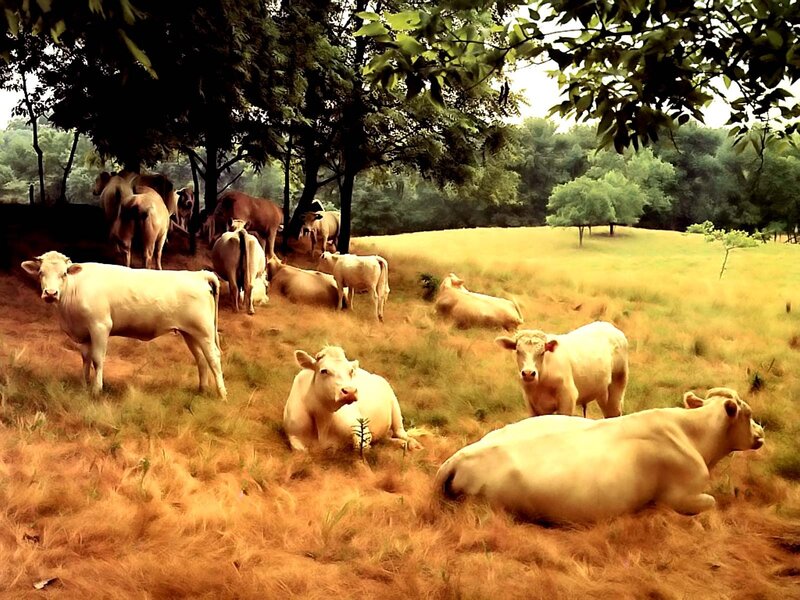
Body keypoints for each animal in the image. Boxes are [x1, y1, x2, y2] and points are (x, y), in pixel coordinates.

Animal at [20, 251, 227, 399]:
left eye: (63, 274)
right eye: (40, 272)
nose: (50, 293)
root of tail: (199, 274)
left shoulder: (100, 326)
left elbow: (97, 359)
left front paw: (96, 390)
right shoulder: (84, 333)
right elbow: (85, 359)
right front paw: (84, 385)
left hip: (204, 332)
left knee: (213, 358)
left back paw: (222, 394)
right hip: (190, 333)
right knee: (201, 359)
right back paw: (201, 390)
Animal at [283, 345, 421, 452]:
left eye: (351, 371)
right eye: (324, 371)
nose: (350, 391)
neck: (323, 419)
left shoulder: (361, 430)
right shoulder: (294, 435)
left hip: (395, 407)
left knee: (400, 432)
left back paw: (412, 444)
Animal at [435, 387, 764, 523]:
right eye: (748, 414)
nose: (761, 432)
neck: (693, 435)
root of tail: (461, 456)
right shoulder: (681, 496)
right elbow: (710, 502)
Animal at [495, 322, 628, 419]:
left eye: (542, 352)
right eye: (518, 351)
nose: (528, 373)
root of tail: (609, 326)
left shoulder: (568, 398)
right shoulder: (532, 404)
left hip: (618, 383)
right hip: (602, 392)